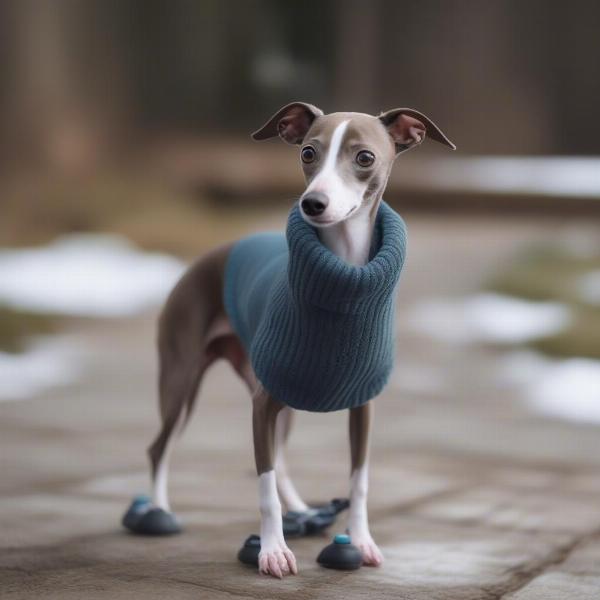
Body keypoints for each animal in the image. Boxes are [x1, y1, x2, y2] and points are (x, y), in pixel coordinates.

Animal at [125, 102, 454, 576]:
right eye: (307, 152)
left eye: (365, 157)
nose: (312, 203)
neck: (343, 273)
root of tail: (205, 259)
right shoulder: (262, 405)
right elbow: (263, 488)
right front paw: (272, 551)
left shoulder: (362, 406)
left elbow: (358, 481)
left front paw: (361, 541)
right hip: (182, 379)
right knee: (160, 448)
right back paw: (160, 511)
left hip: (280, 399)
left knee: (279, 458)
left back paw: (303, 510)